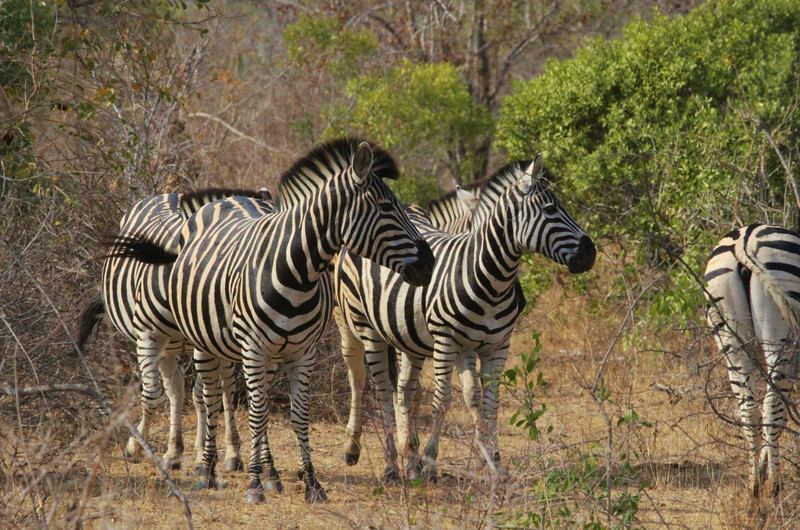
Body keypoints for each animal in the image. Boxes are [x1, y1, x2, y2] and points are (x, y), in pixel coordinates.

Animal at [78, 187, 272, 470]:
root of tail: (165, 195)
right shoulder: (148, 338)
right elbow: (152, 395)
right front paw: (136, 446)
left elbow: (211, 393)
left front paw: (218, 451)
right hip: (165, 345)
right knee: (175, 388)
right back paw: (174, 450)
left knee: (207, 389)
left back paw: (215, 450)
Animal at [113, 138, 434, 502]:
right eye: (384, 206)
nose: (430, 263)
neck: (298, 273)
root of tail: (226, 199)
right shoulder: (254, 349)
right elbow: (256, 413)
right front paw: (253, 483)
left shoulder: (303, 353)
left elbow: (297, 415)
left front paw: (310, 482)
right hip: (203, 342)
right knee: (209, 397)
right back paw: (206, 469)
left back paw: (266, 472)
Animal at [334, 155, 596, 480]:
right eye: (550, 210)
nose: (591, 252)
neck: (491, 281)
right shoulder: (447, 342)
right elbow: (443, 398)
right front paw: (431, 460)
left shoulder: (495, 345)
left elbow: (487, 400)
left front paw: (494, 461)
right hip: (356, 324)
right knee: (365, 382)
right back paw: (376, 457)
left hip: (406, 336)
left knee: (404, 389)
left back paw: (408, 458)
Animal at [704, 224, 796, 496]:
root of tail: (744, 241)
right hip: (781, 334)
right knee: (771, 405)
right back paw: (774, 485)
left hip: (729, 333)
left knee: (749, 408)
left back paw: (755, 484)